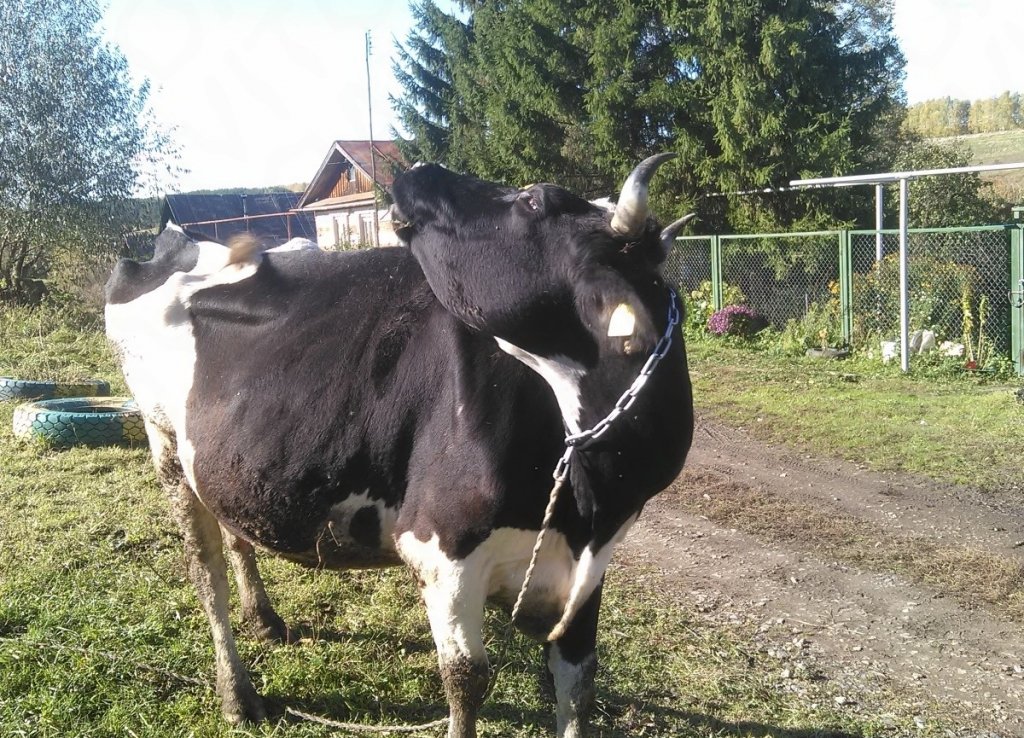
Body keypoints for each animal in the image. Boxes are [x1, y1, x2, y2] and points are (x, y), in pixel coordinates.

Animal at [103, 152, 696, 732]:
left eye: (532, 201)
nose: (419, 169)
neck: (589, 494)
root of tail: (176, 243)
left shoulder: (591, 565)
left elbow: (578, 684)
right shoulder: (443, 550)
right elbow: (466, 680)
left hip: (219, 458)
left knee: (236, 535)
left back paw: (265, 621)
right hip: (164, 444)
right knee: (207, 576)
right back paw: (237, 694)